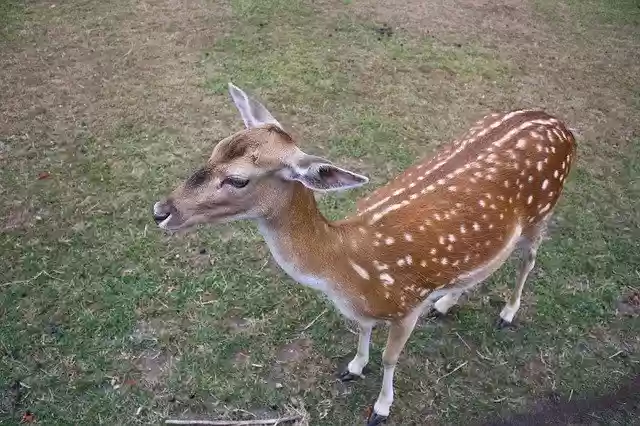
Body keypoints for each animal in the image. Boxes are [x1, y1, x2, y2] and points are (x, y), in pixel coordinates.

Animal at [152, 83, 576, 425]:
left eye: (238, 179)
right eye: (215, 149)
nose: (161, 211)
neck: (350, 268)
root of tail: (563, 127)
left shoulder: (408, 304)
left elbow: (390, 358)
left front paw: (381, 407)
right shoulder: (366, 308)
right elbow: (363, 329)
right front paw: (354, 366)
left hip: (543, 208)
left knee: (528, 259)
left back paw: (507, 313)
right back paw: (447, 303)